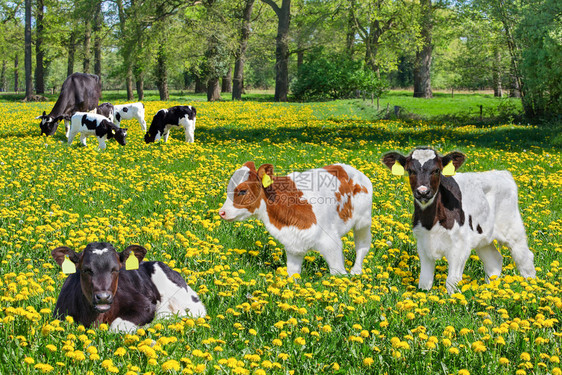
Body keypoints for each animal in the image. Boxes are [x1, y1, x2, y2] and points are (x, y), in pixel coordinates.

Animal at [52, 242, 206, 334]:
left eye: (115, 269)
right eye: (86, 270)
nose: (103, 297)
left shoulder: (145, 305)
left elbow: (116, 326)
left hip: (187, 302)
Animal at [219, 163, 372, 278]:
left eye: (243, 191)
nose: (221, 212)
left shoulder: (331, 243)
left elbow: (338, 274)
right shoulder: (293, 245)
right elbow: (293, 274)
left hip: (363, 222)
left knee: (362, 246)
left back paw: (356, 271)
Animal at [380, 148, 532, 296]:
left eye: (437, 170)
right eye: (410, 170)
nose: (423, 192)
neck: (431, 222)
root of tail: (502, 173)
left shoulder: (459, 246)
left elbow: (452, 281)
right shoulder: (422, 244)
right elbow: (424, 281)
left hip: (513, 228)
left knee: (525, 258)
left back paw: (531, 287)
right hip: (483, 237)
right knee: (494, 261)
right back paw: (490, 289)